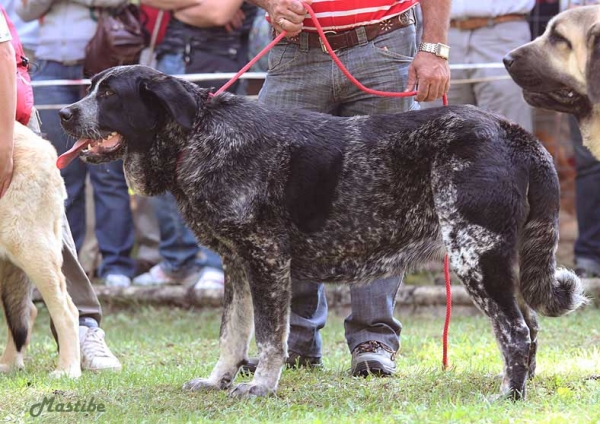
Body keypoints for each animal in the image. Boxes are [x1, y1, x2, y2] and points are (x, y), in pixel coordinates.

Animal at [57, 65, 584, 400]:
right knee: (530, 327)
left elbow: (270, 336)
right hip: (494, 261)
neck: (197, 137)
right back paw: (523, 388)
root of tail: (517, 134)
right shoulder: (236, 265)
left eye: (110, 95)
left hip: (475, 255)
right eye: (90, 87)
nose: (64, 113)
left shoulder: (266, 259)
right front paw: (217, 381)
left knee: (514, 330)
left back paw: (508, 395)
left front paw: (259, 387)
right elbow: (232, 334)